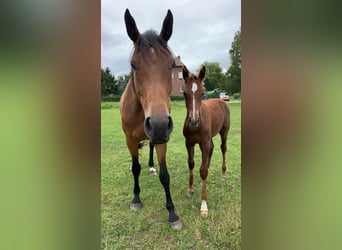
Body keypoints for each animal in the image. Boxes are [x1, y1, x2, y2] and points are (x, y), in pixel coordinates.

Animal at [119, 8, 180, 229]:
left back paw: (152, 166)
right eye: (133, 65)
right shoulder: (129, 139)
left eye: (172, 64)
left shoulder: (162, 140)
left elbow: (165, 175)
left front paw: (172, 213)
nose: (159, 124)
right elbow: (136, 168)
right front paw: (136, 199)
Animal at [182, 65, 230, 216]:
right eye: (184, 93)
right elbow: (191, 164)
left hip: (223, 132)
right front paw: (190, 189)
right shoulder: (189, 142)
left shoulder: (203, 142)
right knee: (212, 149)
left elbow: (202, 171)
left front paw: (203, 205)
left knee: (223, 148)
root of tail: (221, 100)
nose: (193, 121)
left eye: (203, 93)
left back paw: (223, 174)